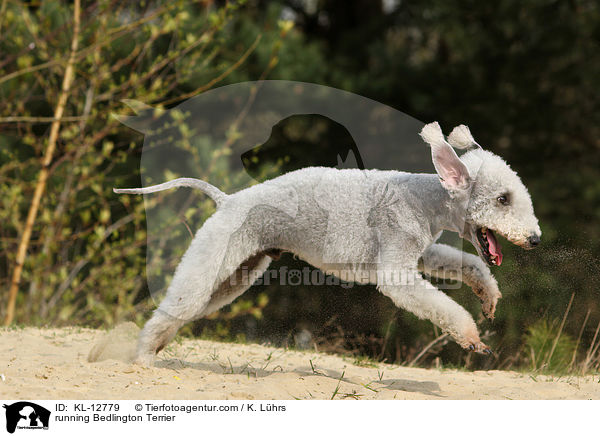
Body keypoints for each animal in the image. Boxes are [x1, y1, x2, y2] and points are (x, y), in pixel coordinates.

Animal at [115, 122, 540, 364]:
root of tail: (228, 200)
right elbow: (442, 306)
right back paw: (141, 359)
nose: (535, 239)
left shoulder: (420, 251)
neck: (426, 198)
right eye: (503, 199)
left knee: (182, 312)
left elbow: (465, 263)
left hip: (237, 274)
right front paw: (472, 338)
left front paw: (488, 297)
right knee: (176, 307)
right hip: (212, 258)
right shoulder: (396, 268)